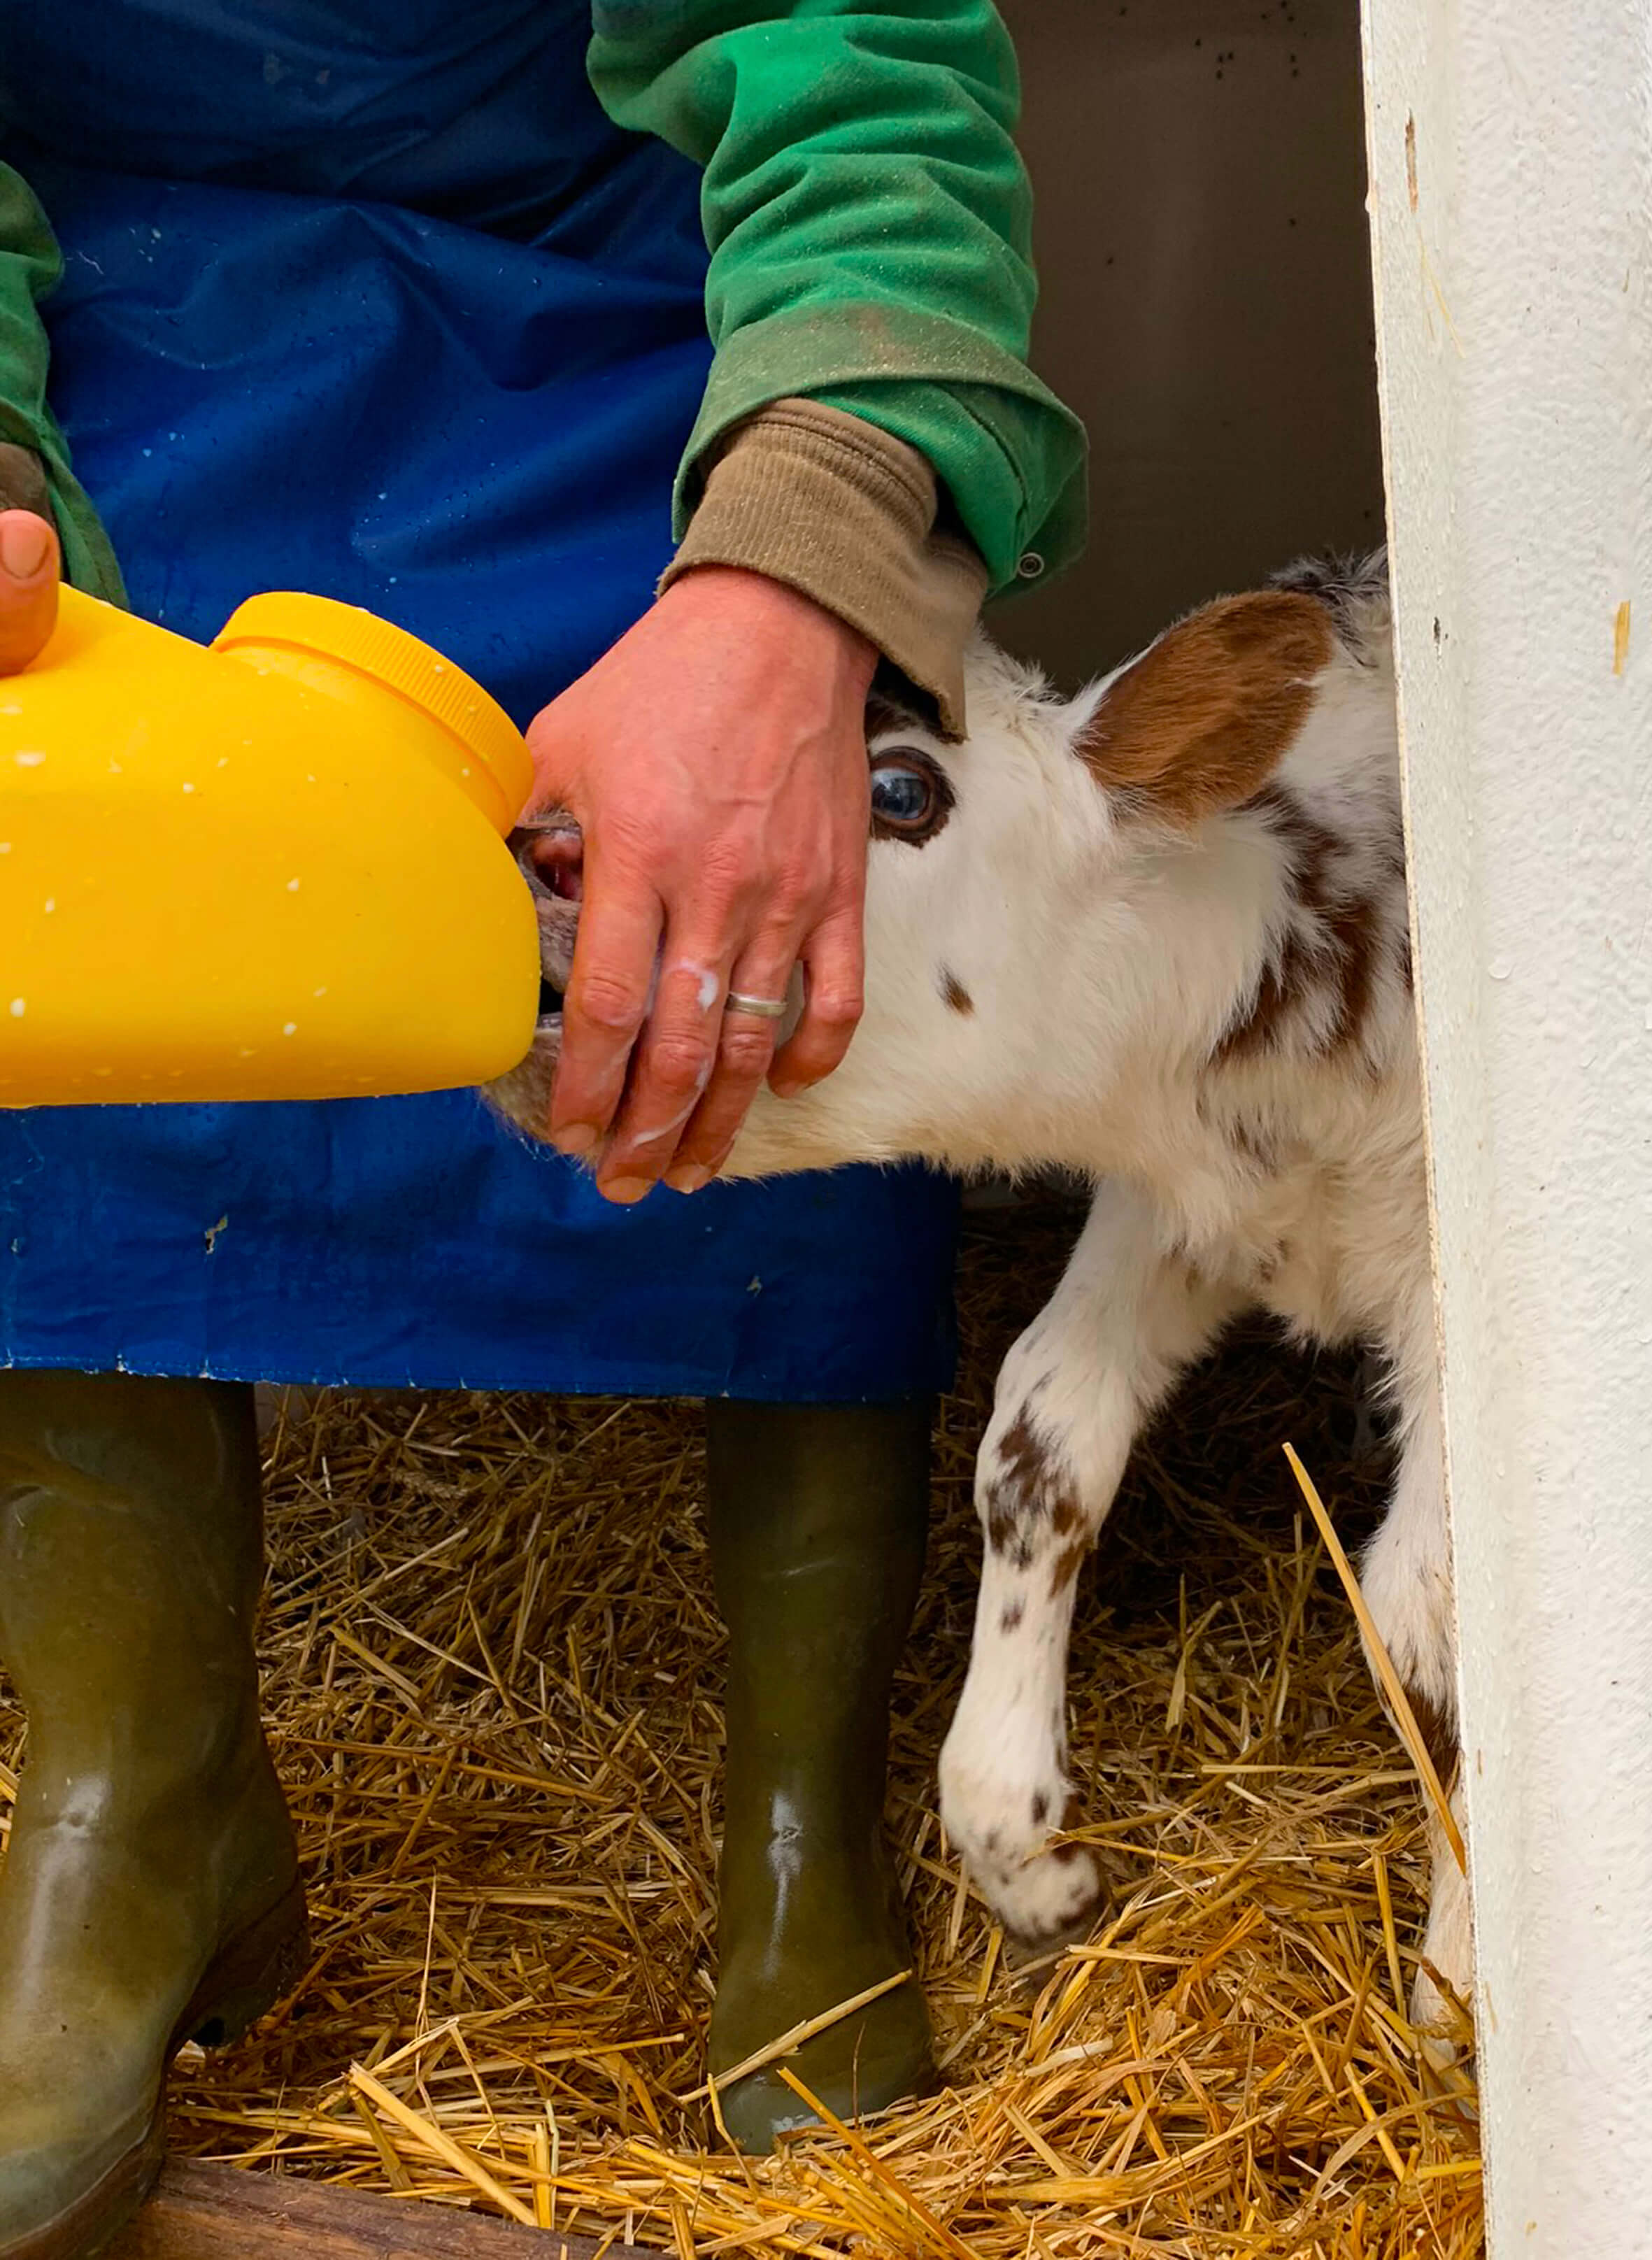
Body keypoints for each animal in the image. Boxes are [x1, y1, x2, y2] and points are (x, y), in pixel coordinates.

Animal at [494, 555, 1473, 2042]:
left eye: (903, 792)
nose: (545, 847)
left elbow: (1426, 1614)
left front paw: (1464, 1986)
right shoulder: (1176, 1202)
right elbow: (1040, 1437)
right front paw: (1028, 1856)